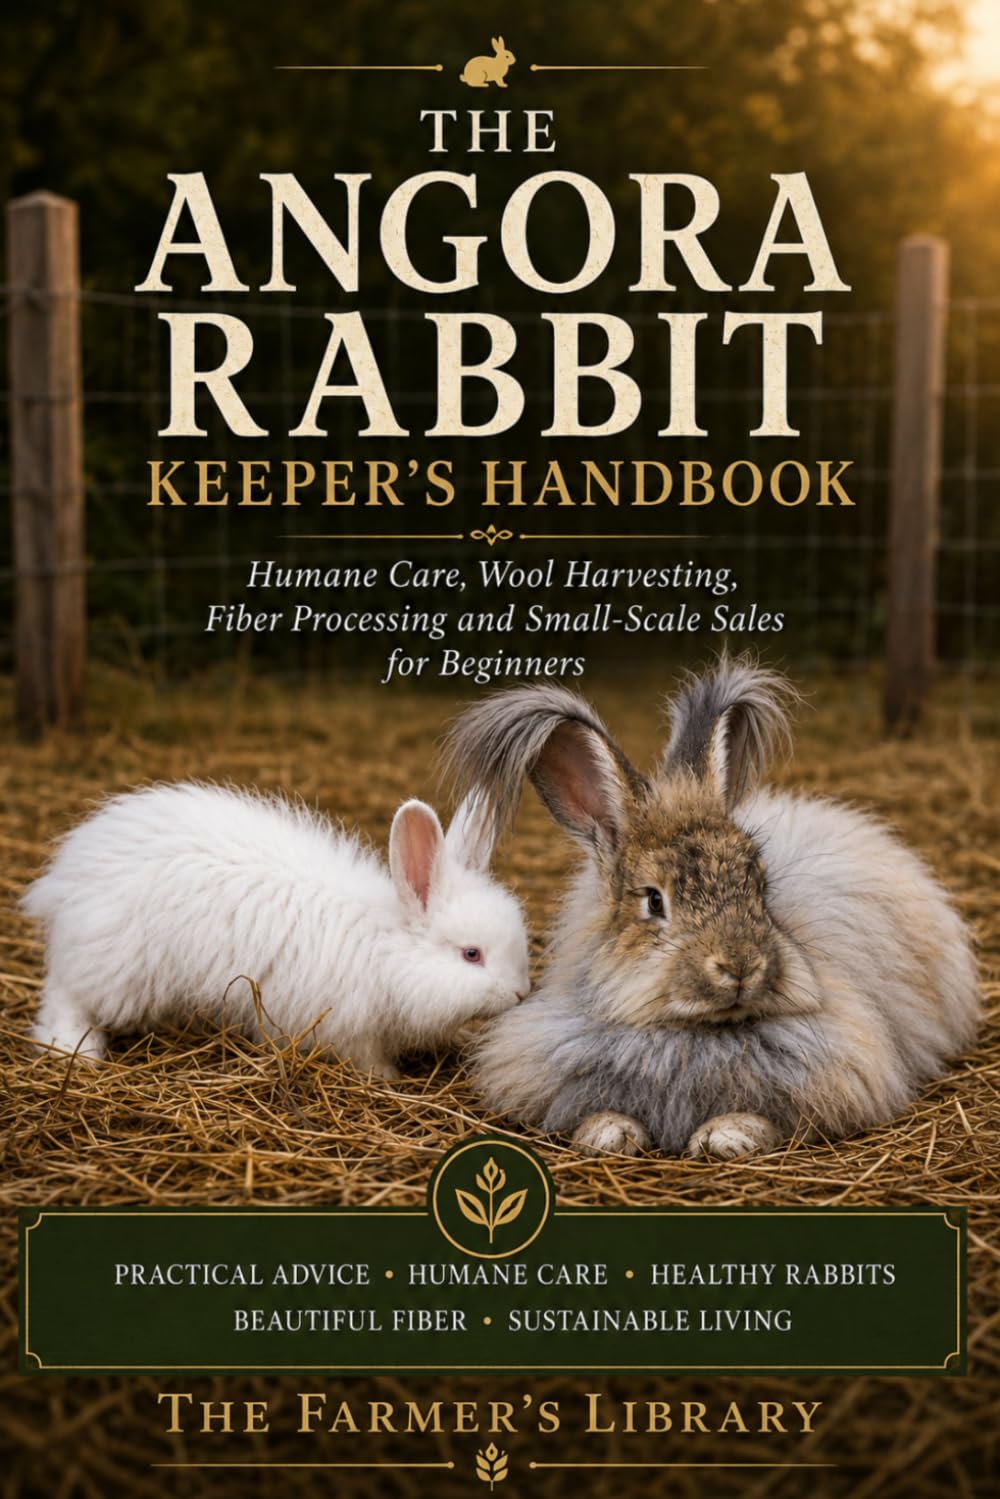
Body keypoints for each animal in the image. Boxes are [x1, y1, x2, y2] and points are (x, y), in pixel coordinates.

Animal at [22, 783, 530, 1077]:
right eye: (471, 954)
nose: (521, 994)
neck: (385, 947)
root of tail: (69, 873)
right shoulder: (347, 1028)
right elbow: (368, 1060)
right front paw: (390, 1081)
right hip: (117, 968)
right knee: (66, 995)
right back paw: (76, 1049)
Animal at [445, 657, 979, 1159]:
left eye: (760, 886)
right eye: (653, 900)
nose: (740, 964)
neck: (694, 1031)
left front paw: (723, 1136)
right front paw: (609, 1134)